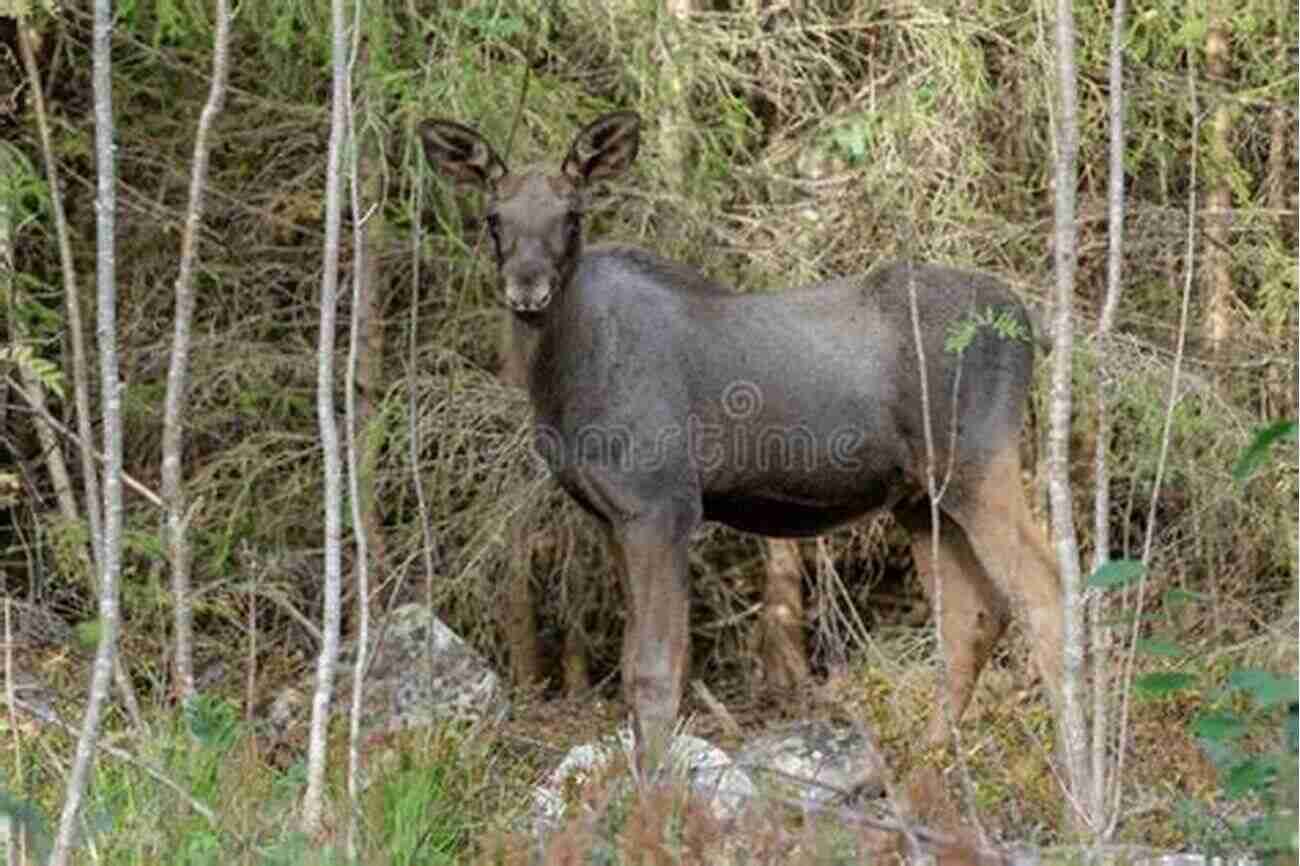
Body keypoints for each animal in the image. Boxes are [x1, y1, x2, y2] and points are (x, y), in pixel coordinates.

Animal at [421, 111, 1060, 780]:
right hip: (920, 497)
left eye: (571, 215)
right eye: (493, 217)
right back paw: (922, 770)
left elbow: (655, 670)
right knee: (973, 616)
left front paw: (654, 794)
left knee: (1047, 593)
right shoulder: (611, 516)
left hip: (978, 461)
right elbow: (631, 669)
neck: (562, 380)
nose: (527, 290)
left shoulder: (662, 504)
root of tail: (1029, 322)